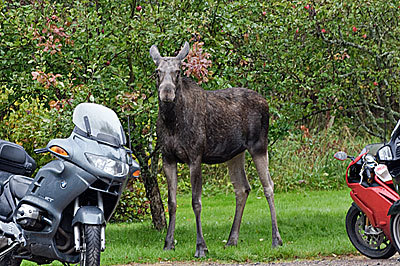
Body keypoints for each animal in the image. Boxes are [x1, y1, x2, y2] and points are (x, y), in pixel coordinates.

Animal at [150, 42, 284, 258]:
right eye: (157, 71)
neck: (172, 122)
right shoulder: (168, 158)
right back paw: (231, 240)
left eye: (178, 71)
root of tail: (266, 103)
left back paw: (276, 239)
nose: (167, 93)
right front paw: (168, 243)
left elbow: (196, 202)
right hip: (236, 153)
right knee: (243, 188)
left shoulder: (195, 156)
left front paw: (201, 247)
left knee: (268, 186)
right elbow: (171, 202)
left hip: (259, 146)